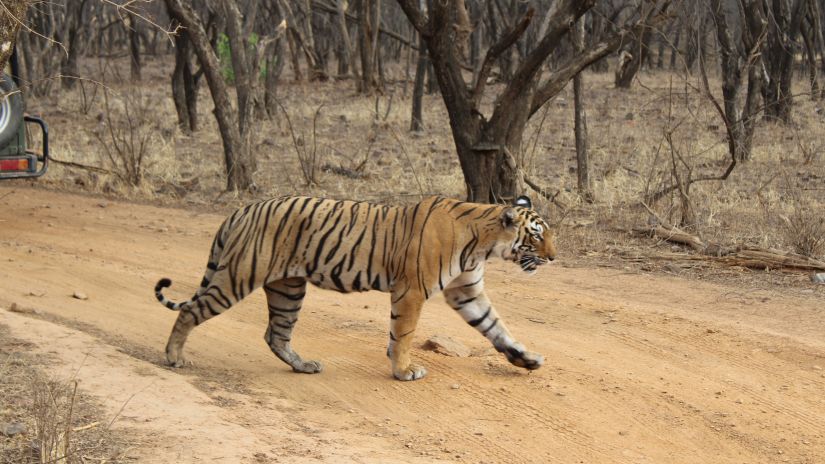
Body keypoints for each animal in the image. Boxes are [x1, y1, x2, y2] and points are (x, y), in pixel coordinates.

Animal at [156, 194, 552, 378]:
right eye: (535, 237)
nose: (553, 257)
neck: (484, 243)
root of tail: (242, 209)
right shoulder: (412, 290)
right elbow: (403, 334)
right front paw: (403, 371)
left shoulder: (466, 291)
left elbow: (496, 326)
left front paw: (526, 359)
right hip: (238, 276)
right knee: (191, 311)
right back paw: (174, 357)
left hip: (288, 288)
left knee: (276, 335)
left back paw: (304, 366)